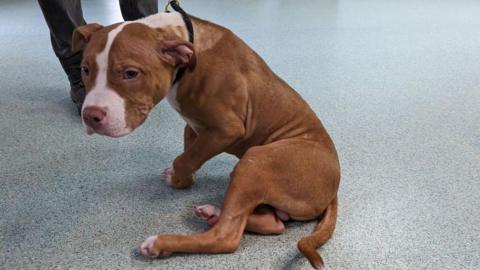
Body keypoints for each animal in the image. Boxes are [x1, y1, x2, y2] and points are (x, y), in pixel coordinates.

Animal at [73, 11, 340, 270]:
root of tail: (334, 189)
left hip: (257, 159)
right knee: (272, 223)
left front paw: (175, 177)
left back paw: (162, 243)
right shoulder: (193, 127)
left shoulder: (227, 129)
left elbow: (184, 159)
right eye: (85, 69)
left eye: (130, 73)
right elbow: (188, 155)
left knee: (226, 237)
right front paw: (183, 181)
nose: (90, 116)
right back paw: (214, 212)